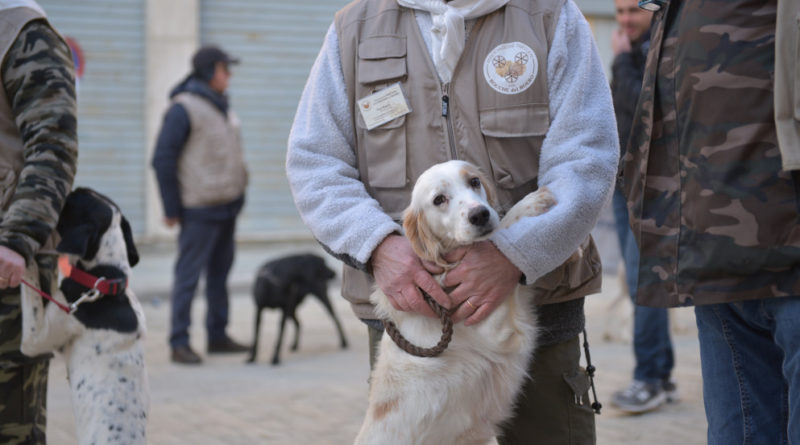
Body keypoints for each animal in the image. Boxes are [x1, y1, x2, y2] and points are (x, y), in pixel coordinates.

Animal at [356, 160, 556, 444]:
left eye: (474, 182)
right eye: (439, 200)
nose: (480, 215)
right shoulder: (497, 328)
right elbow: (503, 230)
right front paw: (530, 202)